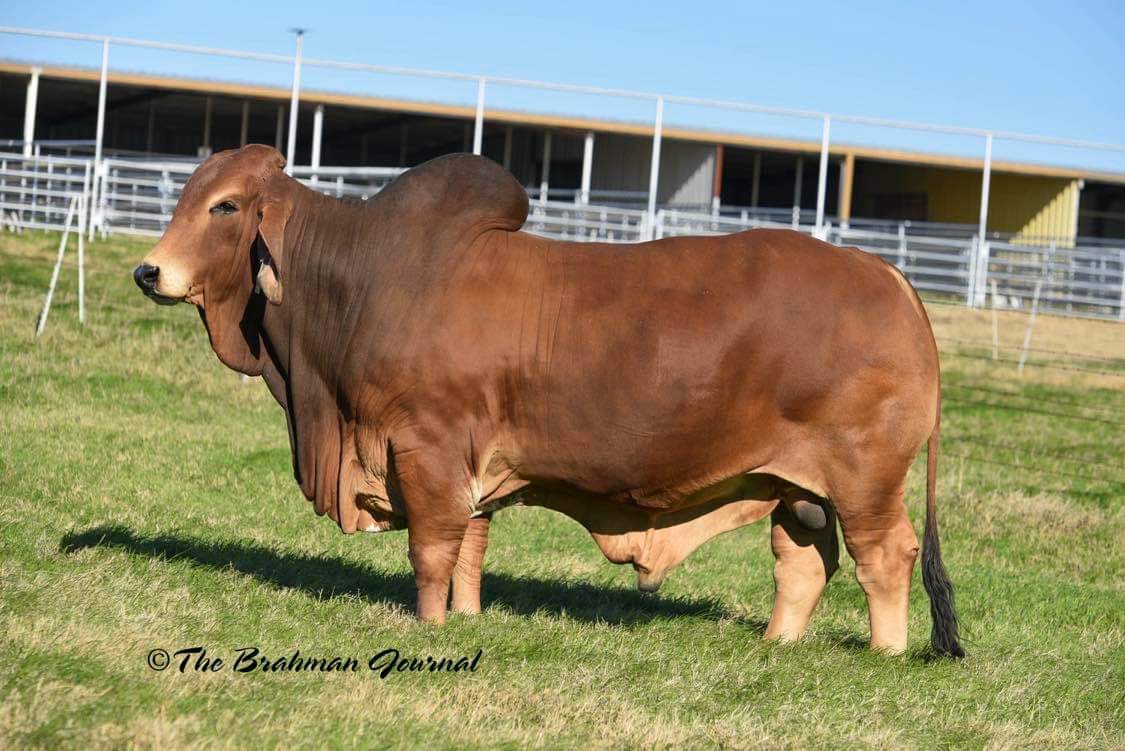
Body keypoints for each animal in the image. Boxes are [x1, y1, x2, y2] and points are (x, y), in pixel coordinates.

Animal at [133, 144, 963, 658]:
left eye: (226, 206)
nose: (149, 271)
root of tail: (883, 274)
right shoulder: (468, 464)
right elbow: (469, 548)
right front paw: (466, 617)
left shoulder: (427, 447)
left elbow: (431, 548)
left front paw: (428, 625)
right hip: (795, 487)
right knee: (802, 559)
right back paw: (776, 642)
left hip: (863, 478)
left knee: (883, 555)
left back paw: (885, 650)